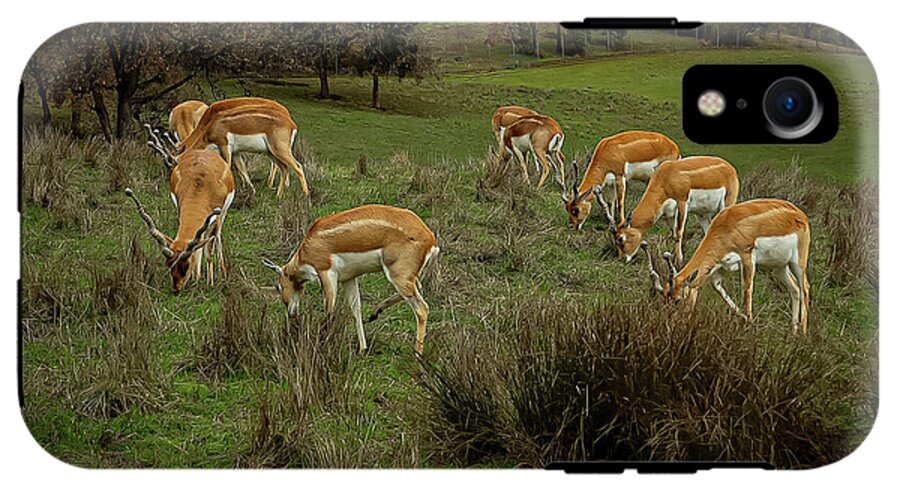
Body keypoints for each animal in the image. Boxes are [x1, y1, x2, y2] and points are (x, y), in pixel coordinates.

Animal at [125, 149, 236, 293]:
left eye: (186, 265)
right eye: (169, 264)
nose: (176, 289)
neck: (200, 186)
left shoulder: (215, 218)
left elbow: (209, 251)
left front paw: (210, 284)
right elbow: (197, 247)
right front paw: (196, 279)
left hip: (222, 215)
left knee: (217, 238)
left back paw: (222, 272)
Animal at [178, 97, 308, 198]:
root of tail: (292, 124)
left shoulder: (225, 146)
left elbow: (227, 168)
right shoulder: (236, 153)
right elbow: (243, 170)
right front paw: (251, 191)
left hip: (279, 150)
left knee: (298, 166)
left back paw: (305, 196)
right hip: (271, 152)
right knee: (284, 167)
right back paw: (278, 195)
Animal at [262, 205, 439, 356]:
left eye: (278, 287)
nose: (291, 313)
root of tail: (430, 239)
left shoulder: (327, 274)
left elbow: (329, 310)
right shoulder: (349, 278)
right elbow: (356, 309)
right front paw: (362, 348)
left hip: (397, 276)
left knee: (422, 308)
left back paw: (417, 354)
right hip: (406, 277)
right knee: (418, 289)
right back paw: (374, 313)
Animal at [644, 199, 811, 335]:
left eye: (677, 300)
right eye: (665, 299)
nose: (671, 325)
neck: (726, 226)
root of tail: (800, 215)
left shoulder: (747, 259)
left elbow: (746, 291)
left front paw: (749, 324)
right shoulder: (718, 267)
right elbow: (718, 288)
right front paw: (745, 319)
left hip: (798, 263)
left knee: (805, 288)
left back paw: (802, 334)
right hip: (779, 267)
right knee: (795, 289)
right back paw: (793, 332)